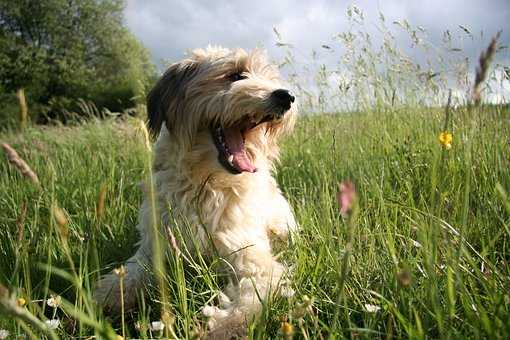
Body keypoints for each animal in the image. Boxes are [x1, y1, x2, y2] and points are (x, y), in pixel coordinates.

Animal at [94, 46, 298, 338]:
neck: (205, 184)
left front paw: (222, 326)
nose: (286, 96)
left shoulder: (253, 259)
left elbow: (249, 297)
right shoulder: (154, 246)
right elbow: (130, 273)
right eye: (236, 74)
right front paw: (105, 298)